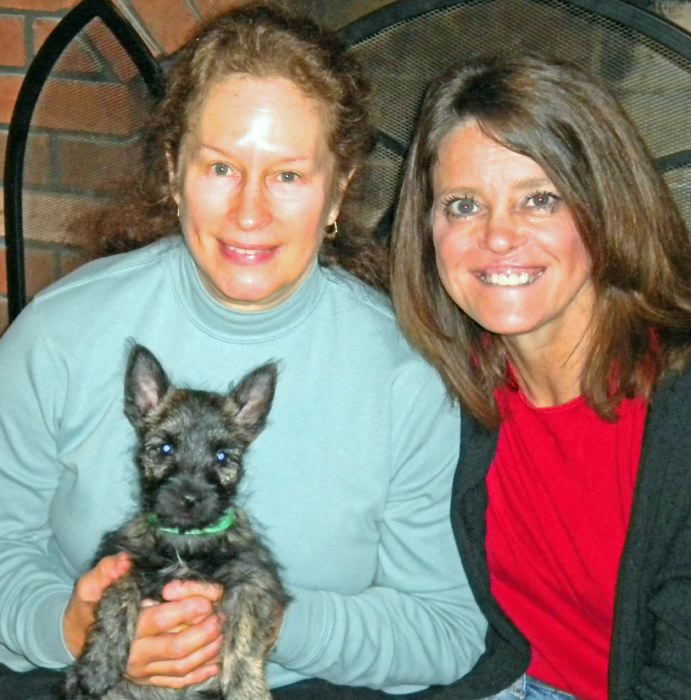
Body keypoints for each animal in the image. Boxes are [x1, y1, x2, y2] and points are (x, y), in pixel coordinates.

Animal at [64, 344, 288, 699]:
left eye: (223, 457)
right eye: (165, 448)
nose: (189, 497)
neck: (187, 541)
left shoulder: (254, 582)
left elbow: (245, 640)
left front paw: (247, 690)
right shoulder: (121, 559)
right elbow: (118, 595)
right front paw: (100, 663)